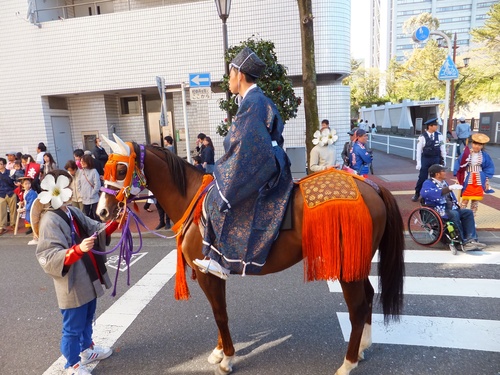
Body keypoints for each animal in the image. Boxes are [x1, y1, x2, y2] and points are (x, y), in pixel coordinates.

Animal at [95, 137, 404, 375]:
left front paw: (228, 358)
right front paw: (219, 351)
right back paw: (362, 347)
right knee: (367, 297)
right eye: (105, 169)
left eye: (121, 169)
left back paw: (348, 362)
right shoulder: (214, 273)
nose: (101, 212)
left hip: (345, 265)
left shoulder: (207, 273)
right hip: (356, 263)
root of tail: (371, 187)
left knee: (357, 307)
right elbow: (219, 312)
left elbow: (220, 314)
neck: (191, 199)